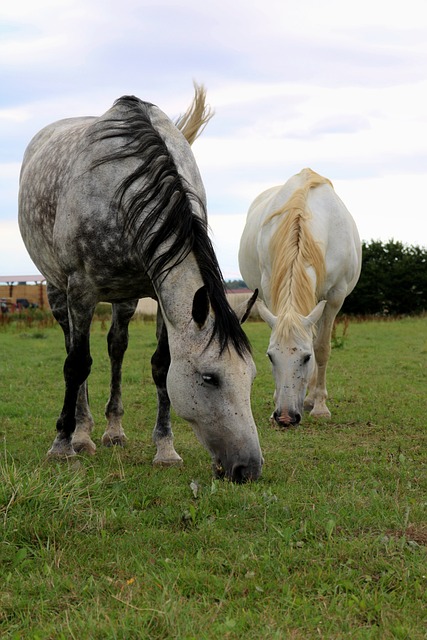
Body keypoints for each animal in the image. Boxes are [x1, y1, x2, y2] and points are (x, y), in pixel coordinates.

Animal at [19, 86, 264, 484]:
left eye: (252, 375)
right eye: (209, 378)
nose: (249, 468)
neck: (124, 192)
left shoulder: (160, 295)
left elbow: (161, 366)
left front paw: (165, 449)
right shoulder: (81, 290)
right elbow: (77, 364)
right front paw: (61, 446)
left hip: (126, 296)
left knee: (116, 347)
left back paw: (112, 431)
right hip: (58, 290)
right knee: (73, 348)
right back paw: (81, 434)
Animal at [239, 168, 362, 428]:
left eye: (306, 358)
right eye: (270, 357)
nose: (285, 417)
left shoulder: (334, 298)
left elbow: (322, 348)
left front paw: (320, 407)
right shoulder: (269, 289)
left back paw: (312, 399)